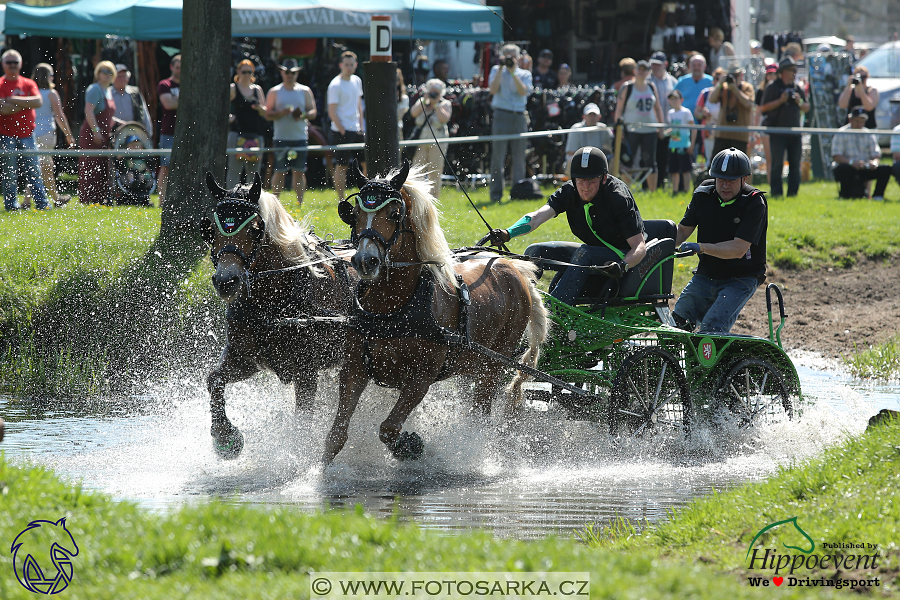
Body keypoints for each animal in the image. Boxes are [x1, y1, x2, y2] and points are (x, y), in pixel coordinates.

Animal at [202, 171, 354, 458]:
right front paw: (225, 437)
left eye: (254, 229)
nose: (226, 281)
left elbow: (302, 419)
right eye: (211, 230)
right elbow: (213, 380)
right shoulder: (246, 359)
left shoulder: (306, 371)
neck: (273, 302)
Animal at [324, 162, 548, 466]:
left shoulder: (421, 378)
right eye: (354, 215)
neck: (392, 309)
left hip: (493, 366)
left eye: (394, 214)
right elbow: (336, 436)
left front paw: (409, 445)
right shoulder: (354, 369)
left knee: (480, 413)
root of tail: (515, 269)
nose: (364, 261)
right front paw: (320, 473)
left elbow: (388, 429)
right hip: (470, 365)